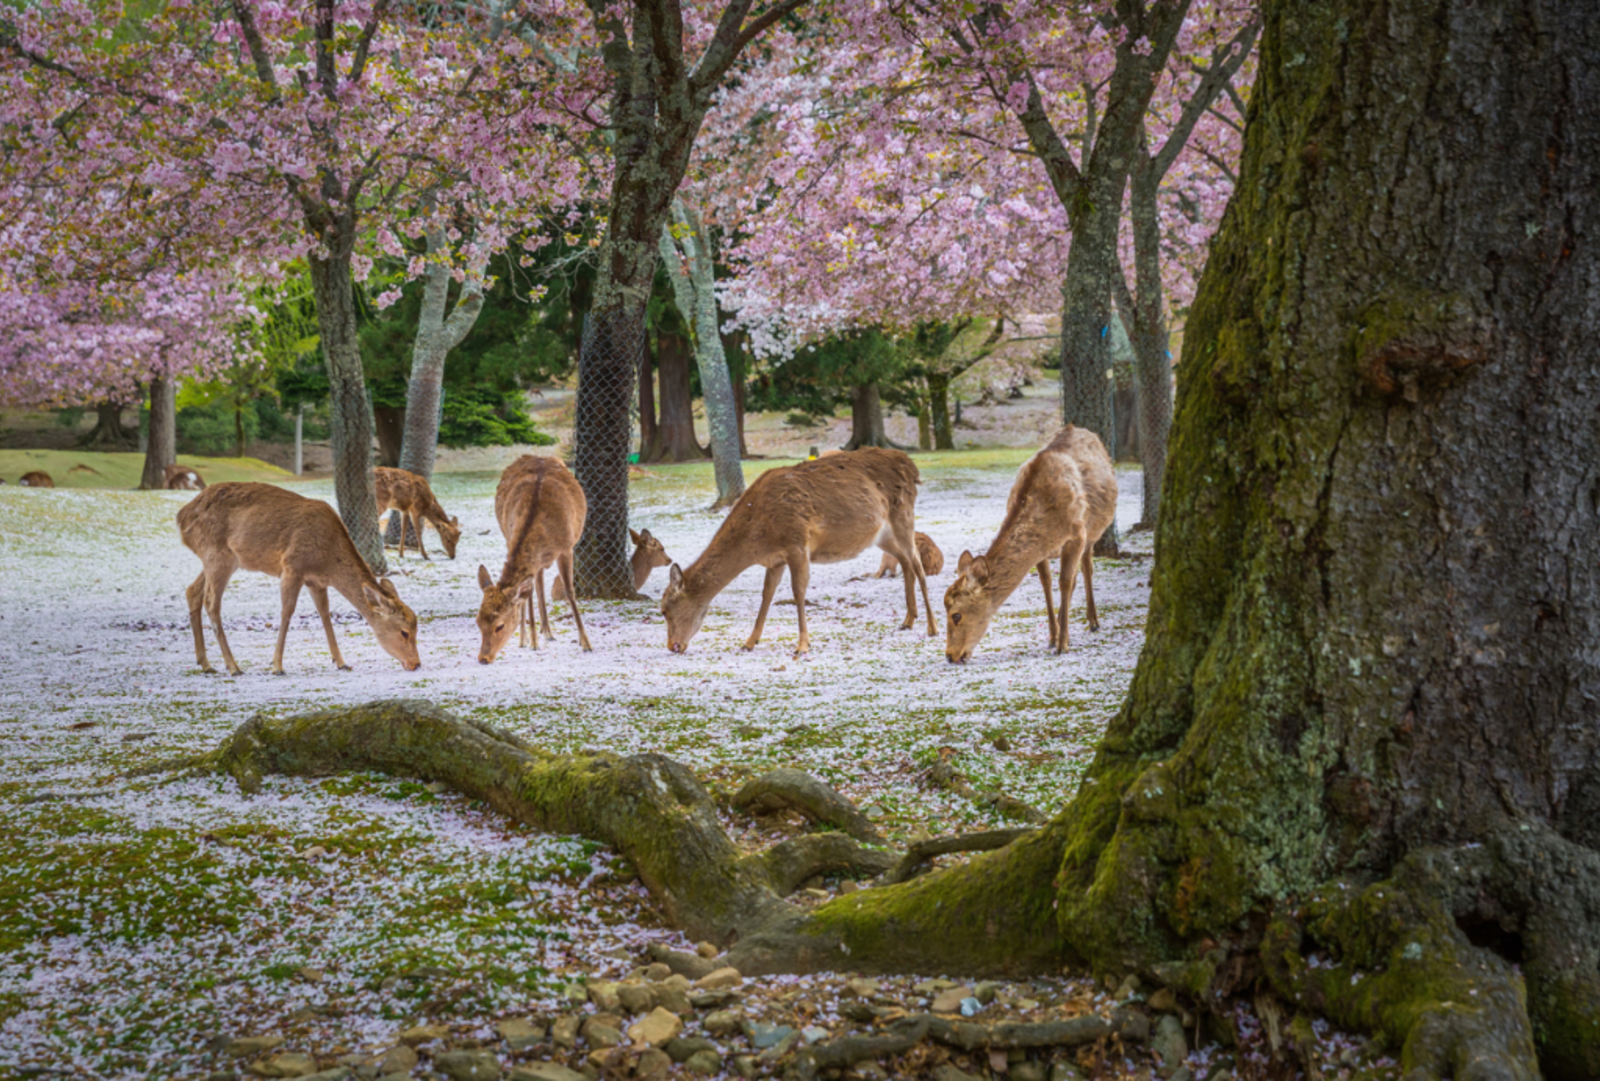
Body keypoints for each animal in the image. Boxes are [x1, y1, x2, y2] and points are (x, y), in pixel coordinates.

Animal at [176, 482, 421, 675]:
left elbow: (324, 613)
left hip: (218, 559)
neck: (329, 561)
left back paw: (206, 663)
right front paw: (277, 666)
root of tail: (181, 518)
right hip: (217, 554)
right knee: (211, 602)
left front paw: (342, 662)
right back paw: (233, 666)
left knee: (192, 591)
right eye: (404, 632)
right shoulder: (292, 567)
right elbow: (287, 611)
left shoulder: (316, 581)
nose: (416, 664)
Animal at [476, 455, 592, 663]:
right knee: (535, 583)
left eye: (500, 626)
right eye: (478, 622)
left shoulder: (567, 548)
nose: (483, 658)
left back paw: (546, 632)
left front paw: (586, 643)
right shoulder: (510, 539)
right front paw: (531, 641)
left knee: (538, 581)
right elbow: (526, 594)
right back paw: (534, 635)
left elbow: (570, 592)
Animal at [660, 447, 936, 656]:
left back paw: (932, 627)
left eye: (664, 610)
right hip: (882, 536)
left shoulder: (797, 543)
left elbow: (798, 592)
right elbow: (766, 595)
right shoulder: (775, 560)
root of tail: (912, 468)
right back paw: (908, 620)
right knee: (906, 563)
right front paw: (749, 642)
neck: (757, 538)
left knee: (918, 566)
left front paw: (802, 645)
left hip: (903, 517)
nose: (673, 645)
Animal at [944, 425, 1117, 663]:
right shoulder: (1041, 551)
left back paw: (1093, 622)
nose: (950, 655)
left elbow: (1064, 582)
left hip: (1092, 532)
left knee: (1086, 568)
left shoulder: (1077, 535)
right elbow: (1046, 584)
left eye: (957, 615)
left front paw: (1062, 645)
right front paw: (1053, 637)